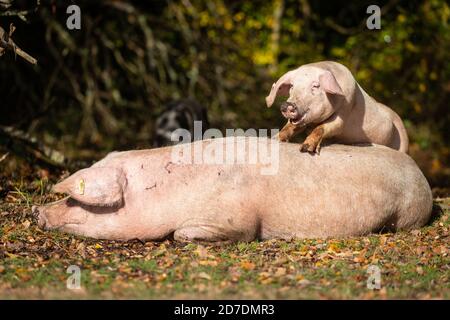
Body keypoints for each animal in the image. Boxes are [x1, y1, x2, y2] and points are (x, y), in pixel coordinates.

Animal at [33, 137, 430, 242]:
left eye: (79, 201)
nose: (36, 212)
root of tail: (420, 172)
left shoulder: (236, 218)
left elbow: (181, 234)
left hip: (409, 213)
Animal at [266, 62, 410, 154]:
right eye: (292, 86)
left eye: (316, 86)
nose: (286, 105)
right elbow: (290, 127)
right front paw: (275, 138)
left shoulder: (344, 112)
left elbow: (324, 127)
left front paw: (306, 149)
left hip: (403, 141)